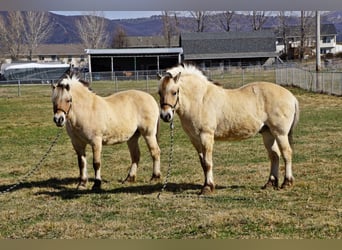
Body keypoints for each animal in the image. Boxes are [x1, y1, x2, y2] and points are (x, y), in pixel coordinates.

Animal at [158, 63, 300, 194]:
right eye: (159, 93)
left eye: (174, 92)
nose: (165, 116)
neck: (199, 100)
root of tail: (291, 97)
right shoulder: (195, 139)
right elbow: (203, 163)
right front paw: (206, 184)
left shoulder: (206, 136)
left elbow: (208, 162)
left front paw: (208, 187)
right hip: (268, 133)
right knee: (274, 155)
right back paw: (270, 183)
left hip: (280, 133)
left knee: (287, 153)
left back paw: (287, 183)